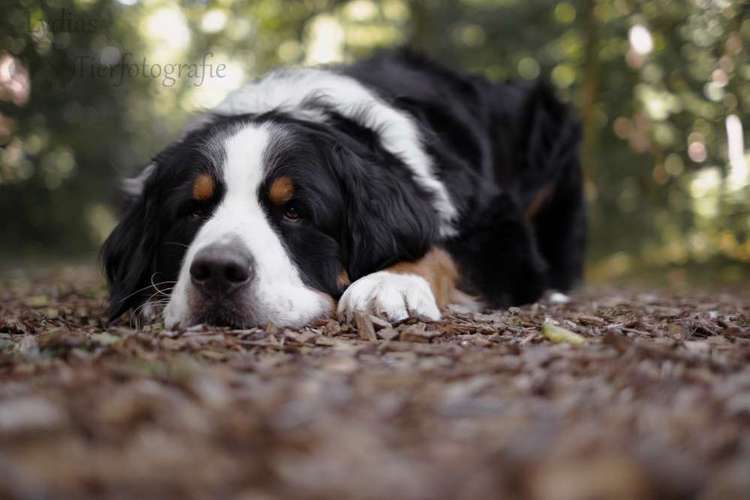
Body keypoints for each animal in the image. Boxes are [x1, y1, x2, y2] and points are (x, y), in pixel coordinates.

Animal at [103, 50, 592, 328]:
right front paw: (150, 300)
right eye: (192, 210)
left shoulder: (497, 226)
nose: (219, 270)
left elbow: (441, 251)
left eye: (294, 211)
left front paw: (391, 283)